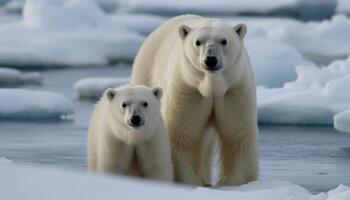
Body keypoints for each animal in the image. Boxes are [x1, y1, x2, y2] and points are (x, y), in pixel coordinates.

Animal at [130, 14, 258, 187]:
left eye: (224, 41)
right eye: (198, 42)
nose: (210, 59)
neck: (211, 86)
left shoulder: (234, 91)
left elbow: (237, 134)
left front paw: (236, 183)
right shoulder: (189, 90)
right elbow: (183, 135)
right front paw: (191, 182)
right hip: (146, 75)